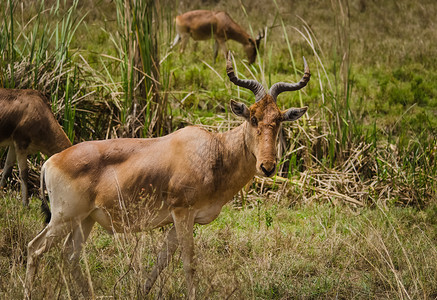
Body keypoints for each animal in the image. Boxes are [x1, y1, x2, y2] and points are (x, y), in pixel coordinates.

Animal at [24, 54, 310, 300]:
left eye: (279, 119)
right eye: (253, 117)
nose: (267, 166)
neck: (214, 149)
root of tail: (51, 161)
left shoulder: (180, 219)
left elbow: (163, 259)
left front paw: (143, 291)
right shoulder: (182, 212)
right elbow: (189, 262)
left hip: (85, 220)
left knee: (70, 257)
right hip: (63, 218)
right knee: (34, 248)